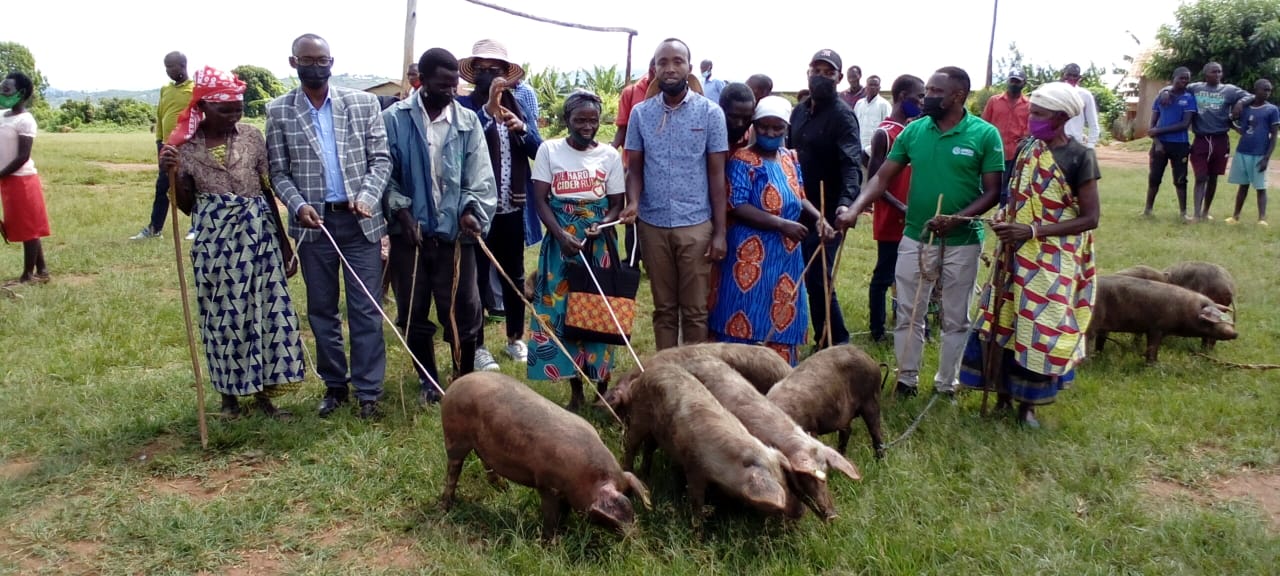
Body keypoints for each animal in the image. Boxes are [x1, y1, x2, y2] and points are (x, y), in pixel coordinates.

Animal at [440, 371, 650, 542]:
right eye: (611, 518)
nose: (635, 537)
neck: (585, 476)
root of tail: (455, 385)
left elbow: (564, 513)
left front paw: (563, 531)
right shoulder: (547, 484)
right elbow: (551, 516)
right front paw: (550, 543)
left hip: (481, 445)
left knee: (485, 462)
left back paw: (503, 488)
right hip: (454, 437)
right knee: (453, 468)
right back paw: (446, 507)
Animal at [611, 366, 798, 524]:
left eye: (785, 480)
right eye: (780, 487)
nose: (800, 511)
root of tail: (642, 376)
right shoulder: (694, 467)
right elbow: (696, 501)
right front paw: (698, 532)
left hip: (655, 432)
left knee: (648, 449)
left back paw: (646, 475)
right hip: (639, 418)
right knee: (631, 445)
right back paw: (630, 470)